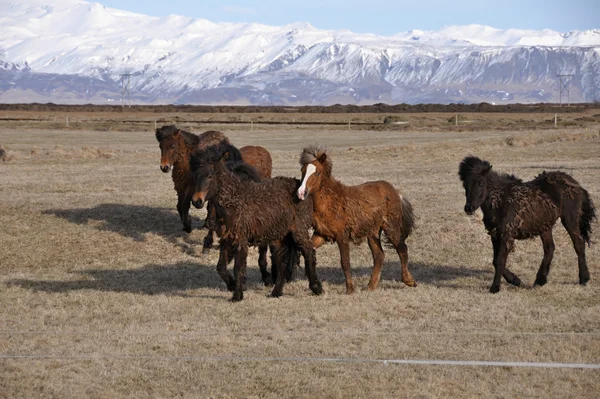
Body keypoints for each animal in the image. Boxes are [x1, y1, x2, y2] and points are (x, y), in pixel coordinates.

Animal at [192, 144, 324, 304]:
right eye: (195, 176)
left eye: (210, 176)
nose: (197, 201)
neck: (235, 200)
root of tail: (301, 188)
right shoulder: (227, 238)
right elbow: (221, 267)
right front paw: (232, 286)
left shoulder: (240, 239)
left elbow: (238, 268)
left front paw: (237, 295)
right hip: (280, 236)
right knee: (282, 262)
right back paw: (276, 291)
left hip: (298, 230)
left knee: (308, 252)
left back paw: (316, 287)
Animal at [296, 145, 418, 296]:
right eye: (302, 171)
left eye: (317, 173)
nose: (301, 193)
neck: (330, 202)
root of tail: (396, 192)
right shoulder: (321, 235)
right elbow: (308, 251)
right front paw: (315, 286)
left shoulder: (342, 236)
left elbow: (345, 262)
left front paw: (350, 289)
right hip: (372, 232)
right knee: (379, 255)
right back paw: (371, 286)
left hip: (391, 228)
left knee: (402, 249)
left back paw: (409, 280)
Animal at [460, 156, 596, 294]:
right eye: (465, 185)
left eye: (481, 183)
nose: (469, 208)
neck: (502, 201)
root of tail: (575, 183)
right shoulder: (494, 234)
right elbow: (495, 261)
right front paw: (516, 280)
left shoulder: (506, 235)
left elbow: (499, 261)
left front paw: (495, 287)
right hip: (544, 225)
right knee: (549, 248)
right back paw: (540, 280)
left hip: (570, 220)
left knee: (578, 244)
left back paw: (584, 279)